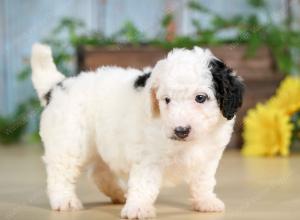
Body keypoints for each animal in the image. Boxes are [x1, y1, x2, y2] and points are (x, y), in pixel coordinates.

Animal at [30, 43, 244, 219]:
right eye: (166, 100)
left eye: (200, 98)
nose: (180, 130)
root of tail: (56, 87)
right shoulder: (149, 157)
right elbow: (144, 183)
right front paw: (138, 208)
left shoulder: (208, 158)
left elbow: (203, 181)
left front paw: (206, 201)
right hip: (70, 140)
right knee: (61, 171)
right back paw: (64, 200)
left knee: (99, 172)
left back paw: (118, 193)